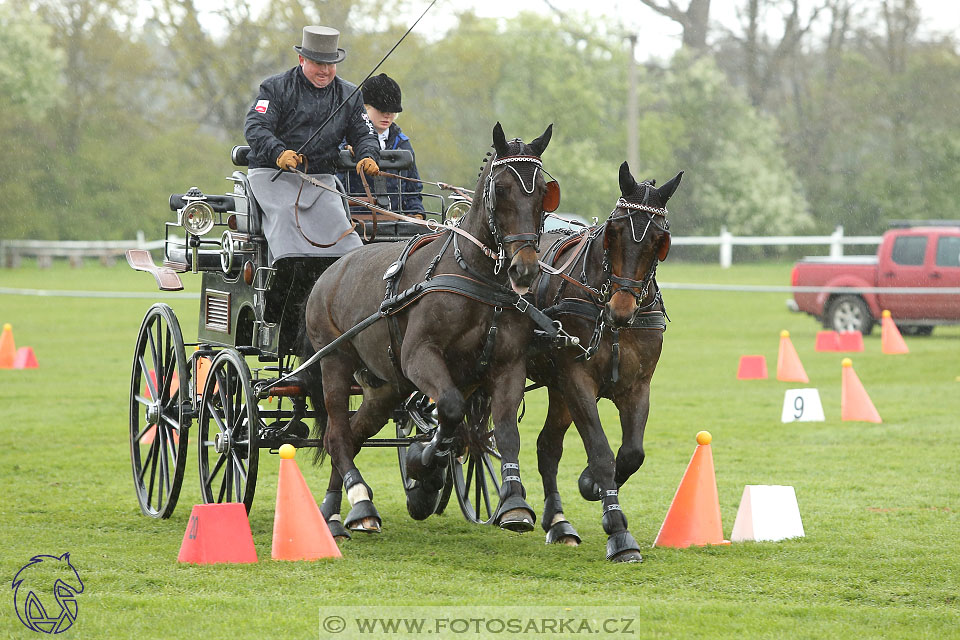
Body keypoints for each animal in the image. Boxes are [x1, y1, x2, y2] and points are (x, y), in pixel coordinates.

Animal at [300, 124, 556, 536]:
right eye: (501, 189)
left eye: (544, 192)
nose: (525, 268)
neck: (475, 277)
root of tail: (331, 270)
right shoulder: (420, 357)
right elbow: (449, 409)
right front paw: (424, 463)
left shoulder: (507, 366)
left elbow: (504, 430)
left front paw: (513, 500)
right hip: (335, 361)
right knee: (337, 435)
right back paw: (361, 501)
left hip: (384, 386)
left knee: (351, 434)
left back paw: (335, 512)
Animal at [528, 162, 680, 564]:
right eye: (613, 232)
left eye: (659, 240)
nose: (621, 310)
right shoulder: (576, 380)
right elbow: (600, 451)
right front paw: (618, 531)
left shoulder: (637, 386)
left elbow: (631, 454)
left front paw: (591, 484)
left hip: (557, 390)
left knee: (547, 446)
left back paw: (558, 522)